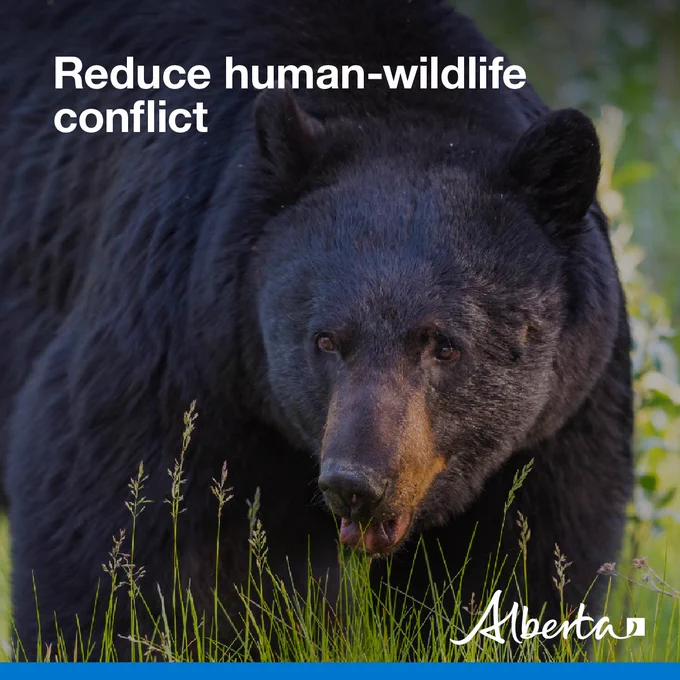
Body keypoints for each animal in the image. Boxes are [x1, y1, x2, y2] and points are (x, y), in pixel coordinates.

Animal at [0, 0, 633, 660]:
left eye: (444, 345)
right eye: (326, 339)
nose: (357, 481)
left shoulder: (564, 414)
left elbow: (529, 563)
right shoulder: (180, 333)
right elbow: (114, 526)